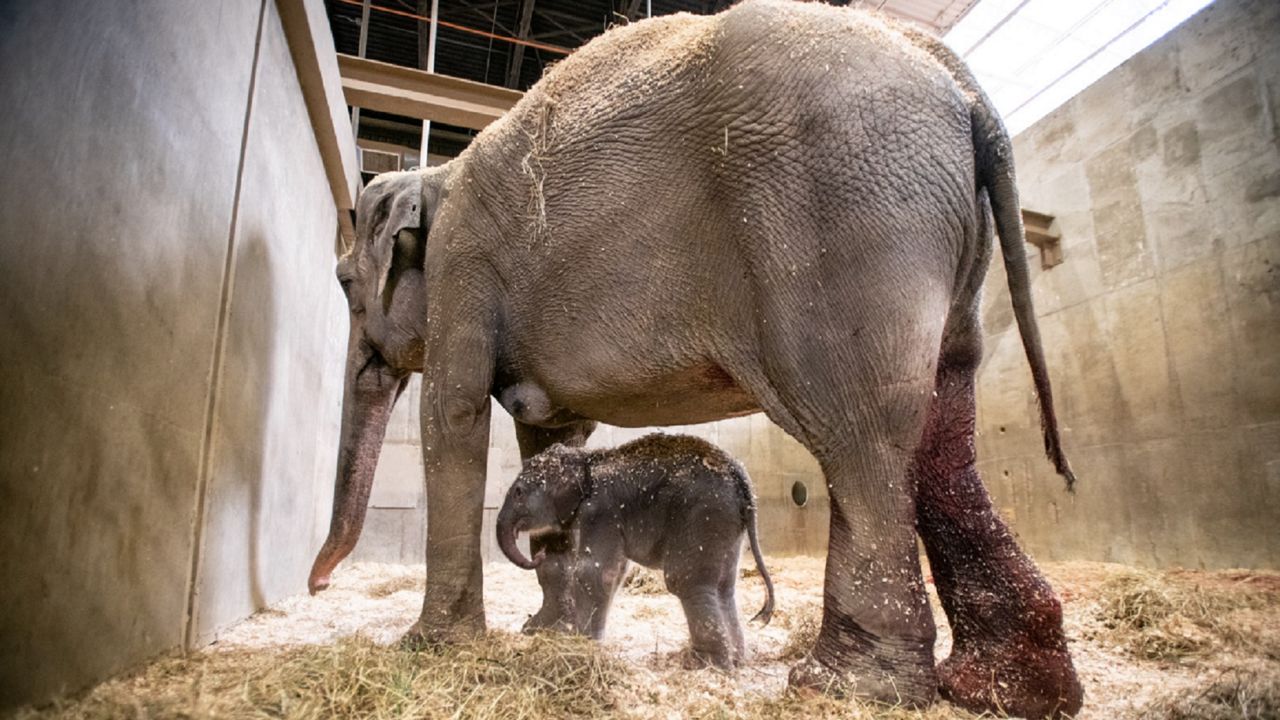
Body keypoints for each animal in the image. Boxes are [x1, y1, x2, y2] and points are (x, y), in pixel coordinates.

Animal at [494, 430, 773, 666]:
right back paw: (736, 661)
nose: (540, 554)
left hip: (703, 514)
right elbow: (616, 573)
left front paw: (581, 644)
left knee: (686, 581)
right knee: (724, 587)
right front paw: (590, 643)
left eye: (518, 492)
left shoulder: (600, 511)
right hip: (727, 523)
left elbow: (593, 572)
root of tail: (743, 482)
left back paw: (705, 664)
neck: (587, 460)